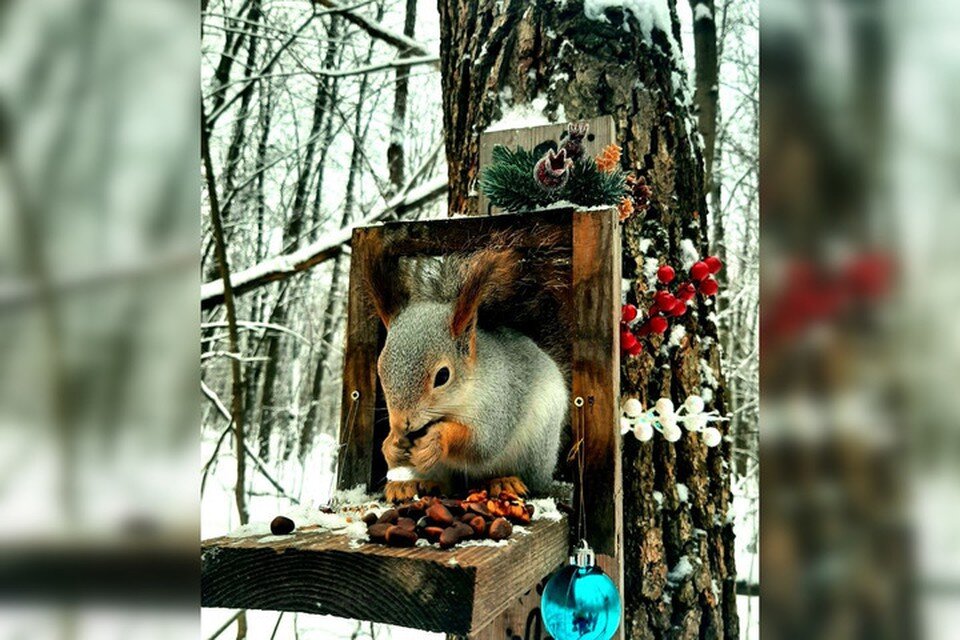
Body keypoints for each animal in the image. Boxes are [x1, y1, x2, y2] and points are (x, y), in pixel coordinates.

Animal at [364, 244, 568, 500]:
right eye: (380, 371)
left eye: (443, 376)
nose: (402, 424)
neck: (456, 403)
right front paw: (391, 445)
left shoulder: (501, 400)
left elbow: (482, 444)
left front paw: (437, 439)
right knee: (444, 484)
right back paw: (410, 485)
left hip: (536, 448)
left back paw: (504, 482)